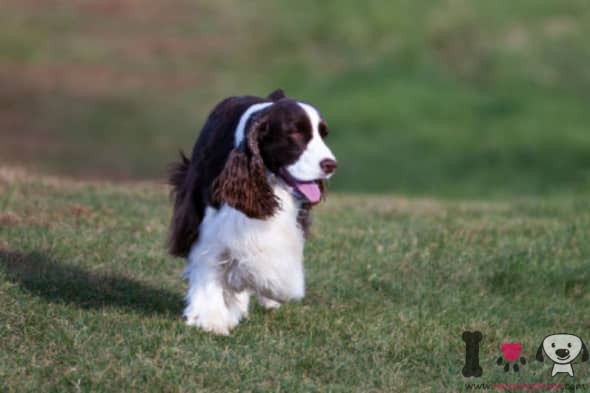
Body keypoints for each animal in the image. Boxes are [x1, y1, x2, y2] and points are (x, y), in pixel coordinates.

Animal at [169, 89, 340, 334]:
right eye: (295, 133)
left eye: (323, 135)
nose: (330, 164)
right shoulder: (206, 218)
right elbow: (208, 260)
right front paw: (212, 318)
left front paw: (272, 288)